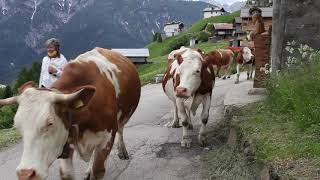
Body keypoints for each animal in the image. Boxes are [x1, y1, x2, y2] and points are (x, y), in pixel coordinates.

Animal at [0, 47, 140, 180]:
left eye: (50, 123)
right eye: (17, 127)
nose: (25, 174)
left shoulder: (107, 138)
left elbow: (98, 171)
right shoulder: (66, 141)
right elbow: (66, 174)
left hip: (124, 116)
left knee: (121, 129)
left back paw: (122, 151)